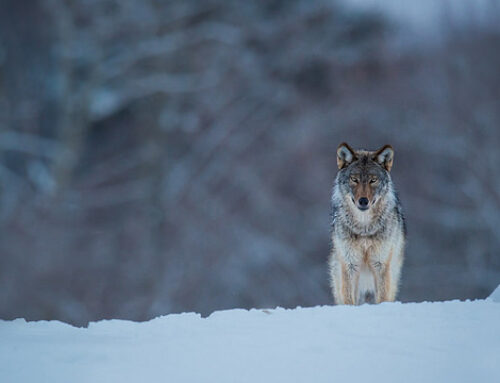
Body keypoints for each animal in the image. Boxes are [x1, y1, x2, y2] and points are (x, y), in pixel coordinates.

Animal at [328, 142, 406, 306]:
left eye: (373, 180)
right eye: (354, 179)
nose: (363, 201)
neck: (364, 228)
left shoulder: (381, 264)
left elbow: (382, 298)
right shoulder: (350, 264)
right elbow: (349, 299)